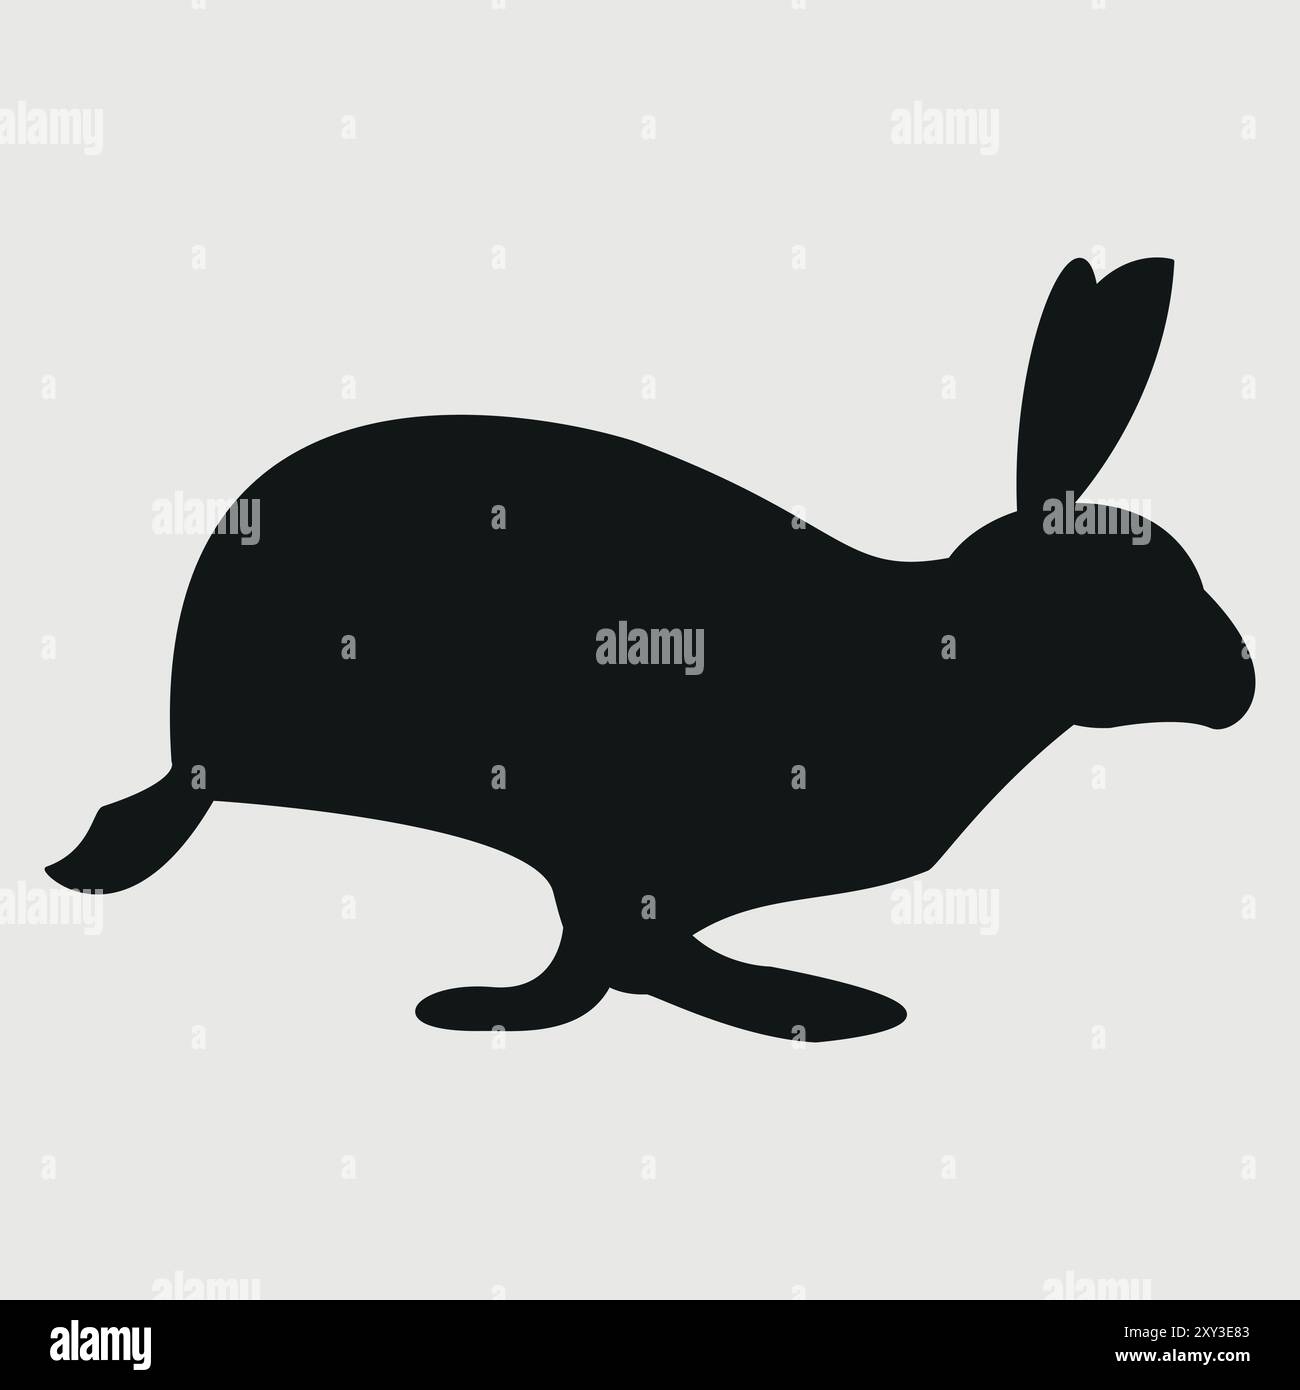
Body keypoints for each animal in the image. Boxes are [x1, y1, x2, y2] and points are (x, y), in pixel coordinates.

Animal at [46, 256, 1254, 1042]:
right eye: (1138, 593)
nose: (1242, 681)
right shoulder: (622, 854)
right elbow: (614, 956)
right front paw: (826, 1010)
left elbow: (613, 957)